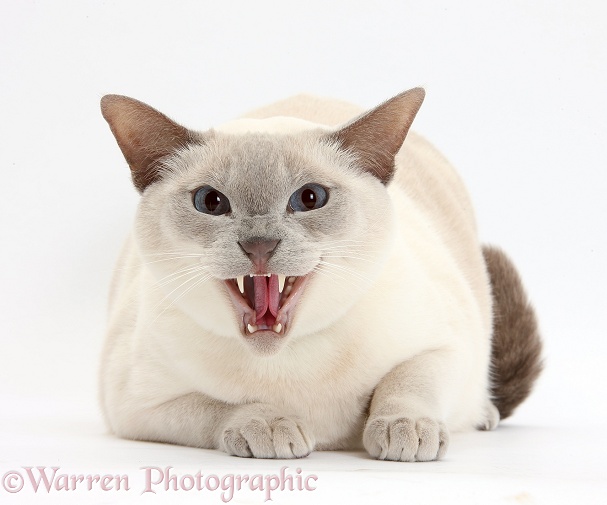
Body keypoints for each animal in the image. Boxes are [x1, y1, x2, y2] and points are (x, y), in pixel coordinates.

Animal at [98, 87, 540, 460]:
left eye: (310, 199)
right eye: (210, 202)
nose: (260, 244)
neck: (286, 357)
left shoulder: (445, 346)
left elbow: (405, 383)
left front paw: (404, 430)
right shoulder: (135, 406)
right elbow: (220, 406)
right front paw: (270, 425)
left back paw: (483, 415)